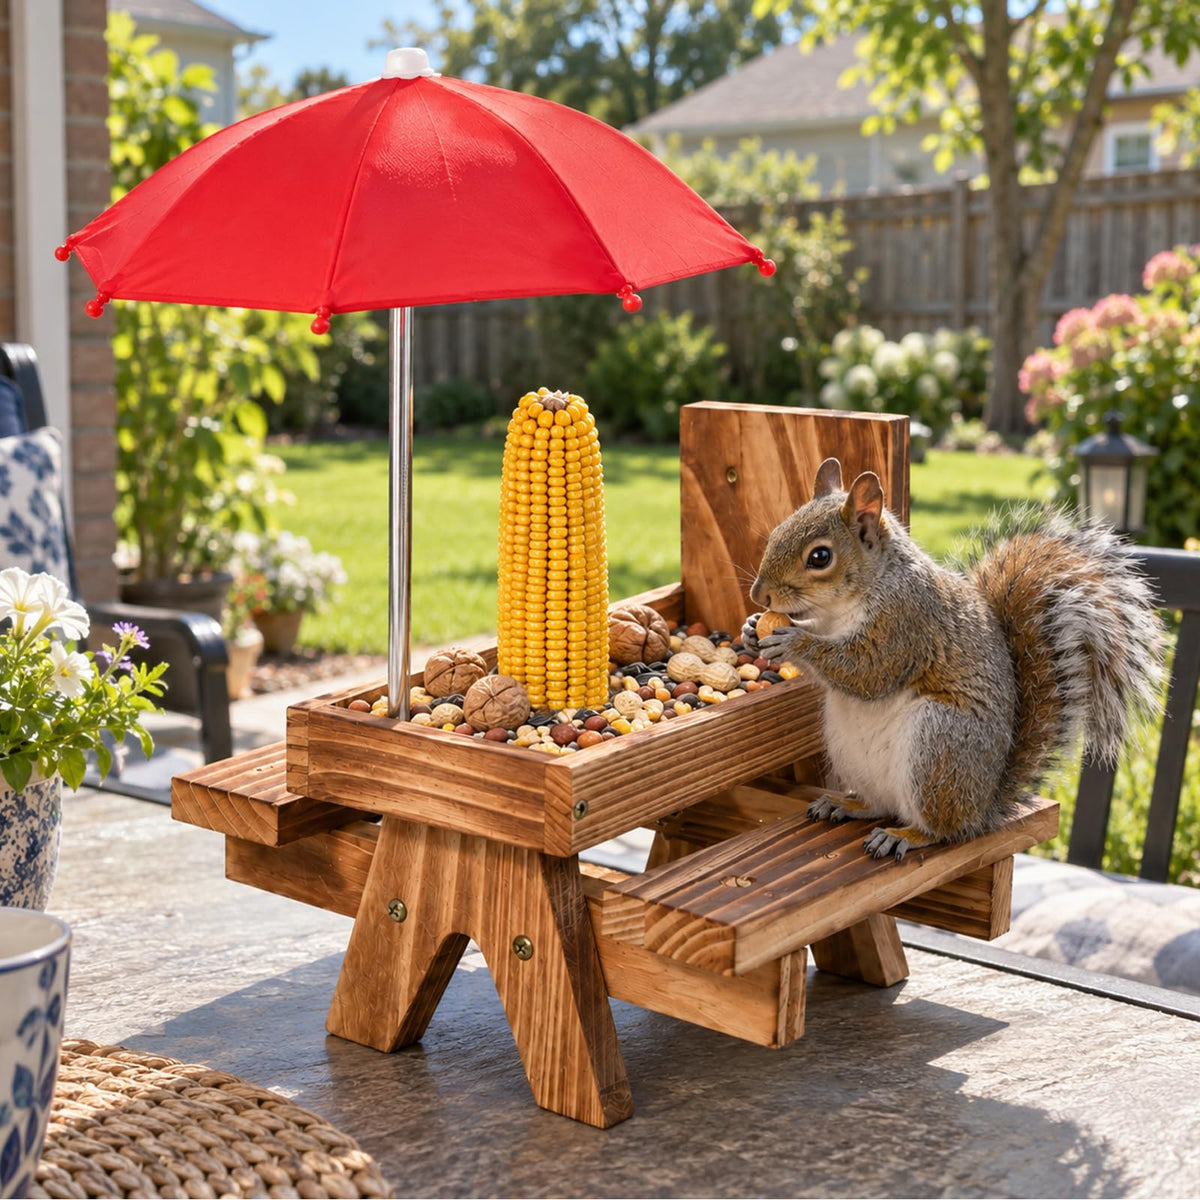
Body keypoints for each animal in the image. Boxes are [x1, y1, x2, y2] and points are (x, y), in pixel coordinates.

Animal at [742, 456, 1164, 862]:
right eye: (777, 532)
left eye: (820, 557)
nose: (759, 596)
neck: (843, 607)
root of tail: (983, 808)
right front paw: (750, 629)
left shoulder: (906, 622)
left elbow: (868, 671)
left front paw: (795, 641)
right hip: (850, 749)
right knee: (881, 805)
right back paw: (848, 805)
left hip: (939, 746)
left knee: (942, 830)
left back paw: (905, 836)